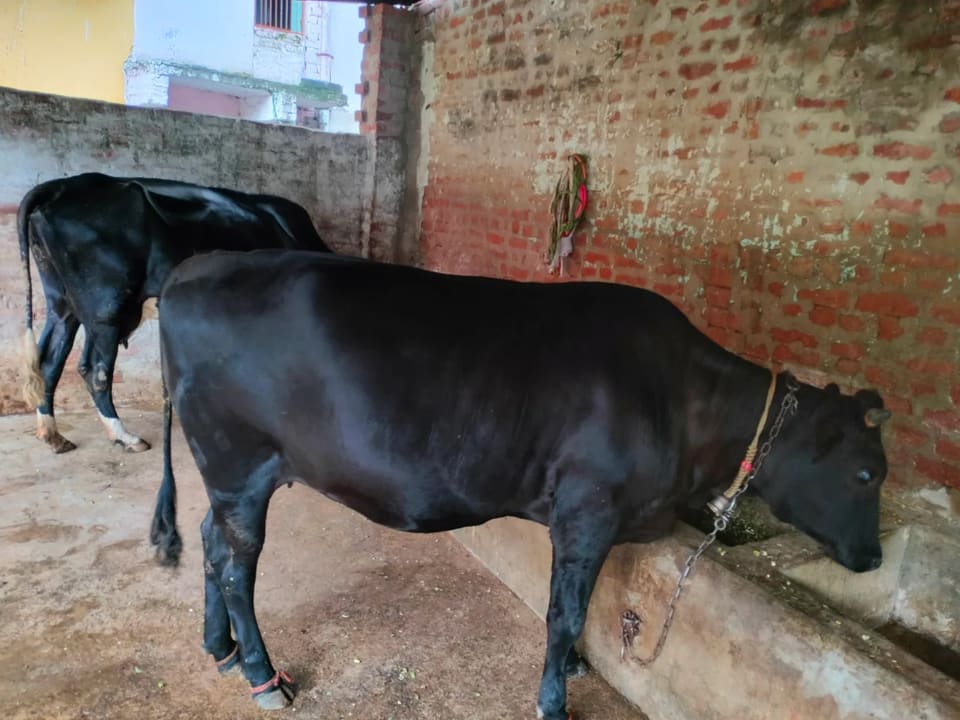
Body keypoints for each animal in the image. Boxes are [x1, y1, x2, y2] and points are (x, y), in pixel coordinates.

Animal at [18, 172, 331, 454]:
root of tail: (60, 186)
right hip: (105, 307)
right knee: (95, 369)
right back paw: (124, 437)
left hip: (62, 303)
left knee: (49, 361)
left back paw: (53, 435)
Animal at [151, 250, 890, 719]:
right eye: (865, 472)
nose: (874, 557)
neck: (684, 402)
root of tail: (196, 265)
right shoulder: (587, 508)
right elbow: (565, 611)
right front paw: (554, 700)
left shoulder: (597, 519)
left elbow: (584, 603)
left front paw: (573, 668)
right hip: (239, 461)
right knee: (236, 563)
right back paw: (262, 676)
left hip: (228, 476)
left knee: (210, 543)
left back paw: (220, 649)